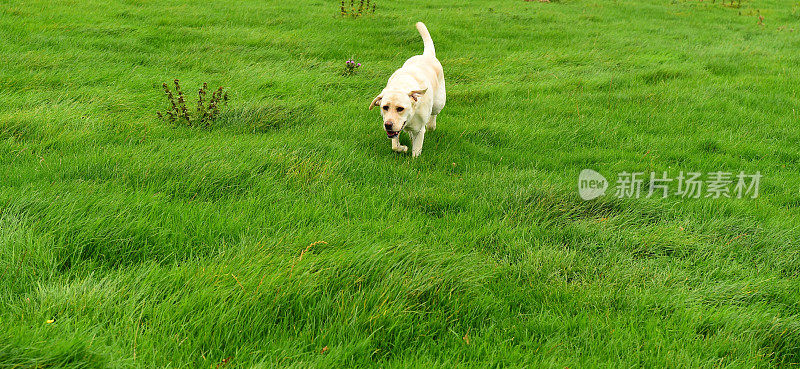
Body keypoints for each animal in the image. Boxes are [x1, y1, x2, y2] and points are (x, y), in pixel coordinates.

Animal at [368, 21, 444, 157]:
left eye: (400, 108)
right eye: (385, 107)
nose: (388, 125)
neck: (401, 85)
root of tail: (426, 55)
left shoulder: (420, 130)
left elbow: (416, 151)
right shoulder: (395, 129)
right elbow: (395, 145)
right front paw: (402, 148)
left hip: (439, 102)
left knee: (434, 113)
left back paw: (431, 125)